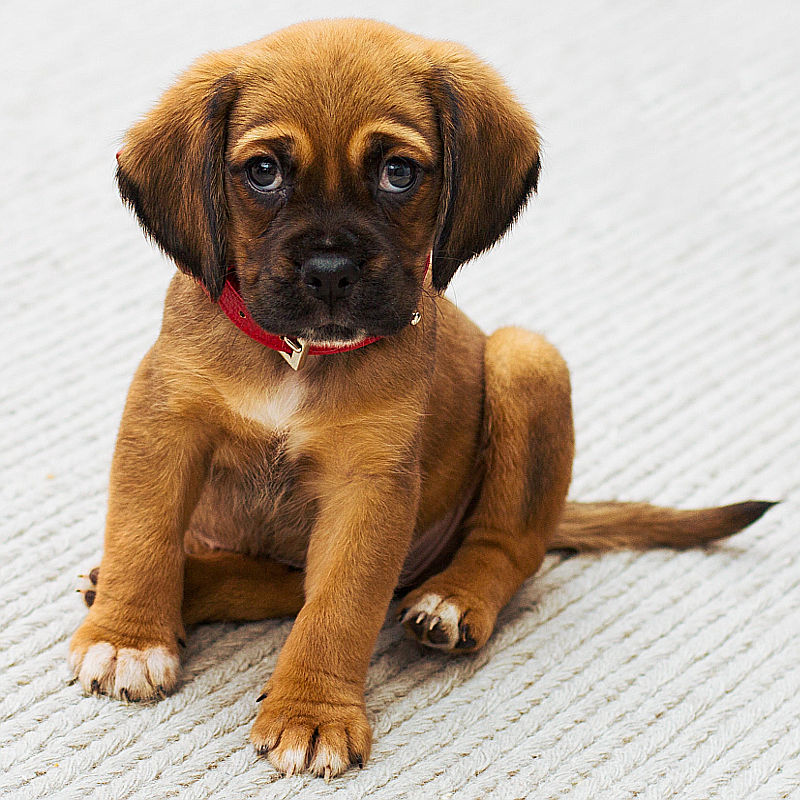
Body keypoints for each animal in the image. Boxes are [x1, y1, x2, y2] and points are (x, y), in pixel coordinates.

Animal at [70, 20, 776, 780]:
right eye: (263, 173)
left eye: (398, 173)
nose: (329, 272)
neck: (297, 356)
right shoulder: (163, 425)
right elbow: (142, 534)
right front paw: (130, 637)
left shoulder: (370, 487)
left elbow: (340, 608)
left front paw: (312, 714)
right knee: (279, 583)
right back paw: (181, 586)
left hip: (528, 360)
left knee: (506, 548)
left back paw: (454, 599)